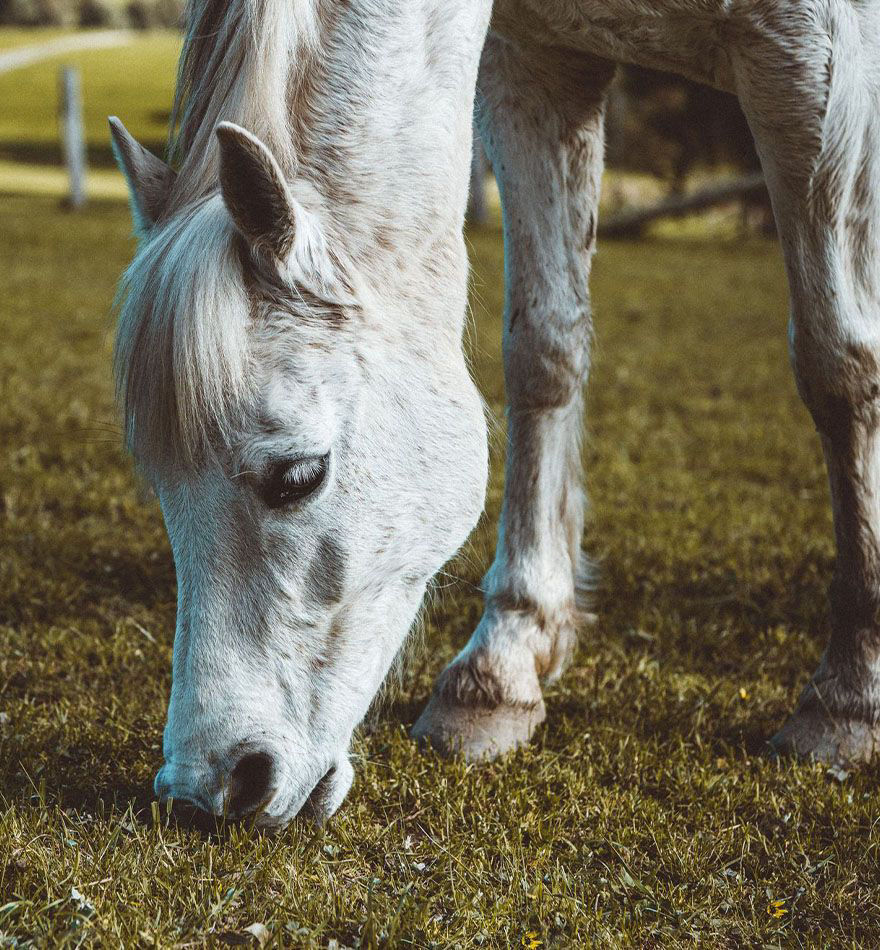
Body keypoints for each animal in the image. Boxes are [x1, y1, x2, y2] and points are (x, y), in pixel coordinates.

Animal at [110, 0, 880, 824]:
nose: (205, 790)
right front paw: (501, 666)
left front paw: (849, 696)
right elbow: (544, 349)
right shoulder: (539, 65)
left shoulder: (816, 58)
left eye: (297, 476)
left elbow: (838, 365)